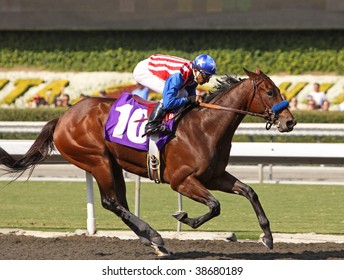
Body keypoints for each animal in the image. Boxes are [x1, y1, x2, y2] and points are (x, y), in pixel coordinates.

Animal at [0, 67, 296, 256]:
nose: (290, 121)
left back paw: (153, 241)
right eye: (270, 91)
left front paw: (267, 237)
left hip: (112, 163)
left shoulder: (214, 176)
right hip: (96, 159)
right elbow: (215, 206)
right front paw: (184, 217)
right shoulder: (181, 180)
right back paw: (154, 236)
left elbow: (250, 192)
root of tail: (62, 117)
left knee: (119, 202)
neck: (205, 126)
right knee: (111, 202)